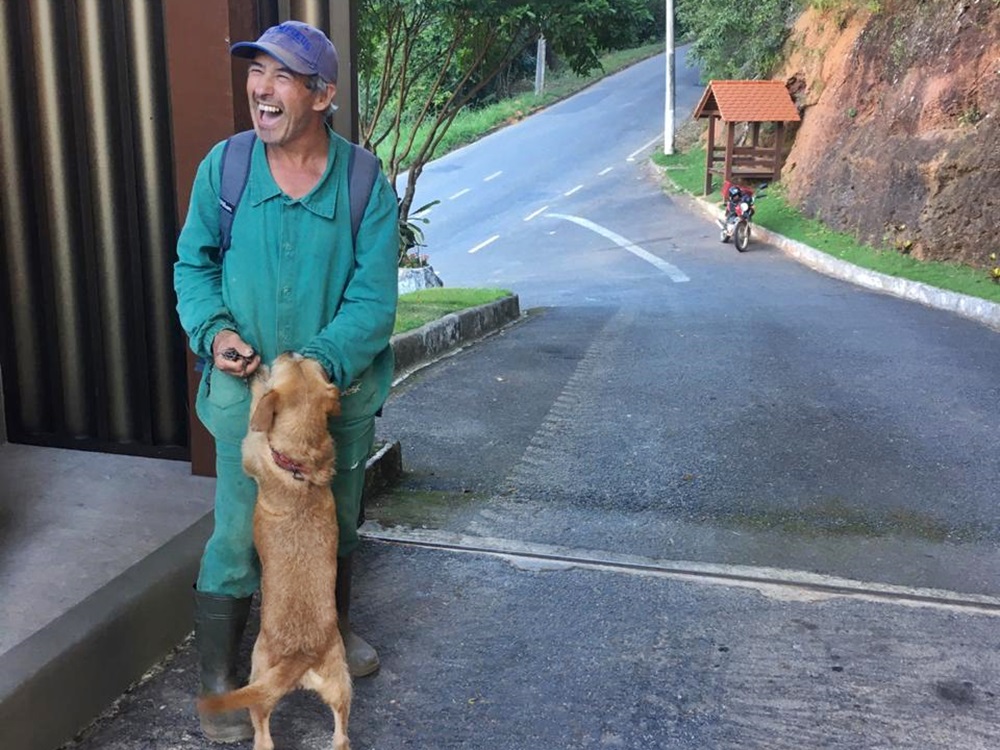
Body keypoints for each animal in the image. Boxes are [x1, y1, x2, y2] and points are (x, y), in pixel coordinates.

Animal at [198, 352, 352, 750]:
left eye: (292, 362)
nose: (287, 352)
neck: (300, 464)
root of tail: (301, 655)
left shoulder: (252, 447)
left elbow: (256, 417)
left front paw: (256, 379)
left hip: (259, 672)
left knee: (263, 733)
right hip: (341, 683)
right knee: (342, 735)